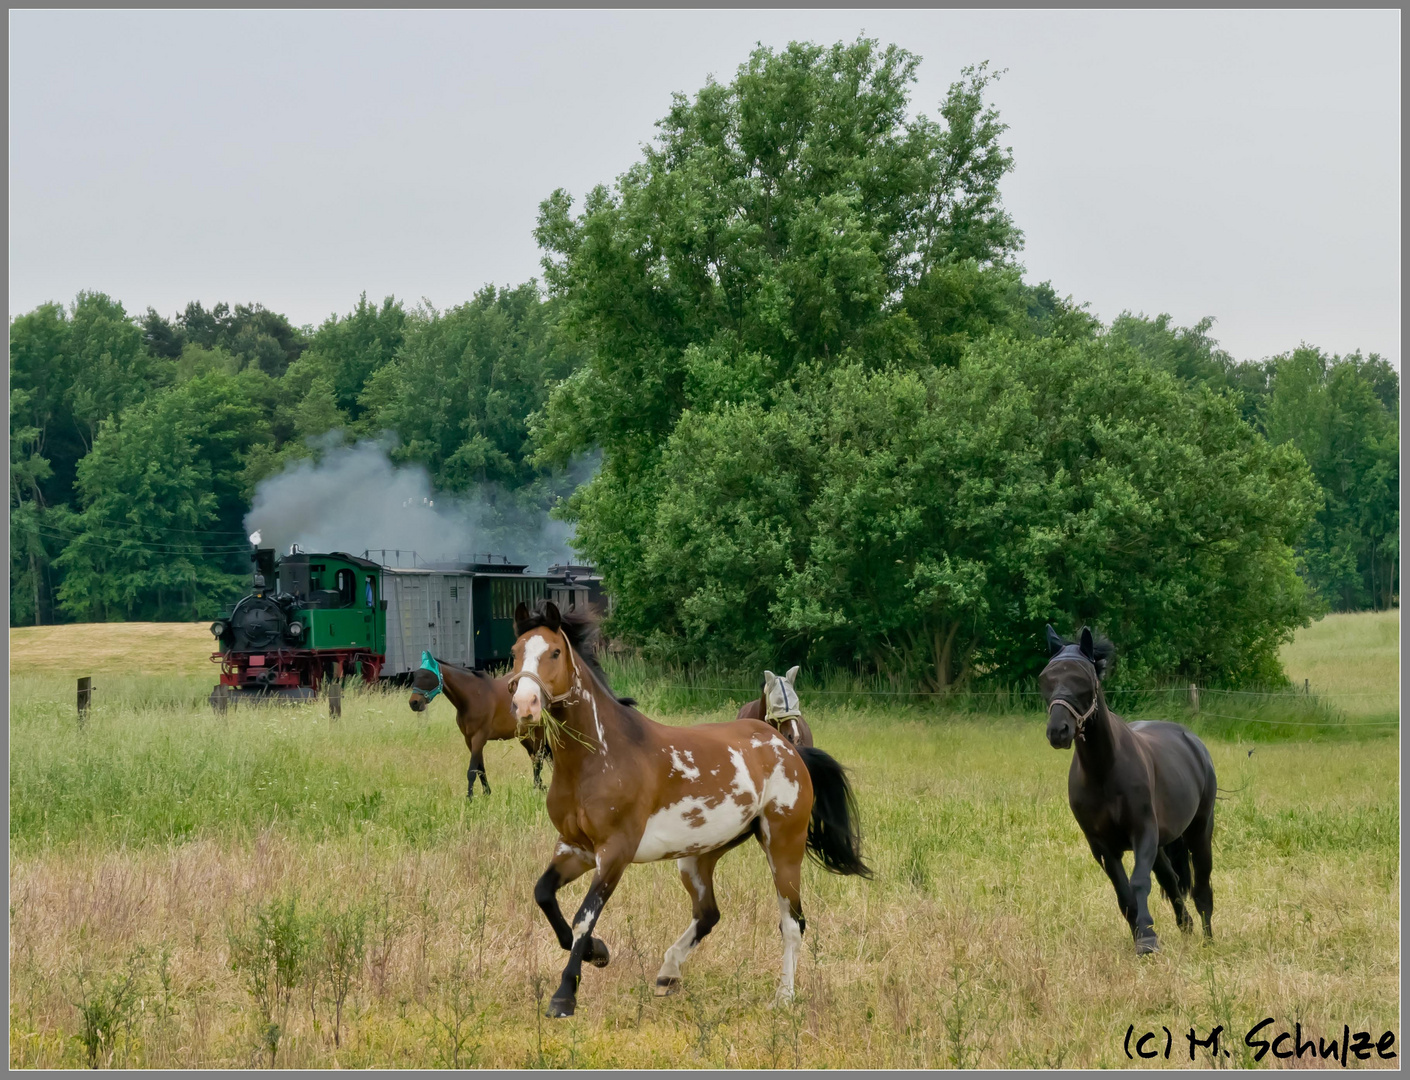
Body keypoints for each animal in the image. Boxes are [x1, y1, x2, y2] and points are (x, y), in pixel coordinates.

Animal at [408, 654, 549, 800]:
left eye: (428, 676)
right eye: (416, 675)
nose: (414, 703)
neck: (473, 696)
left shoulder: (479, 738)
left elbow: (471, 770)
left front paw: (469, 798)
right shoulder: (469, 740)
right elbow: (480, 768)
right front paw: (486, 793)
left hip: (539, 730)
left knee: (538, 758)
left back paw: (536, 789)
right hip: (523, 734)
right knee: (534, 757)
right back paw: (540, 787)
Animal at [501, 603, 862, 1020]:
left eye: (555, 652)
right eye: (515, 651)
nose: (524, 705)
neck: (598, 756)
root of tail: (788, 747)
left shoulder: (614, 853)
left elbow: (584, 918)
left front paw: (564, 995)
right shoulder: (574, 847)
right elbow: (544, 895)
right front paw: (599, 953)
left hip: (784, 845)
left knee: (792, 922)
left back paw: (783, 997)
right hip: (699, 856)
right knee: (708, 914)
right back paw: (668, 974)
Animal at [1043, 626, 1218, 958]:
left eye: (1083, 679)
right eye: (1045, 677)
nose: (1058, 731)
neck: (1104, 772)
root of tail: (1192, 741)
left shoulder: (1143, 832)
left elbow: (1139, 883)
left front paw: (1148, 939)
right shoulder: (1100, 845)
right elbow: (1124, 893)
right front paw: (1141, 935)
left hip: (1199, 830)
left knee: (1202, 888)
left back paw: (1208, 942)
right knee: (1171, 879)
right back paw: (1186, 926)